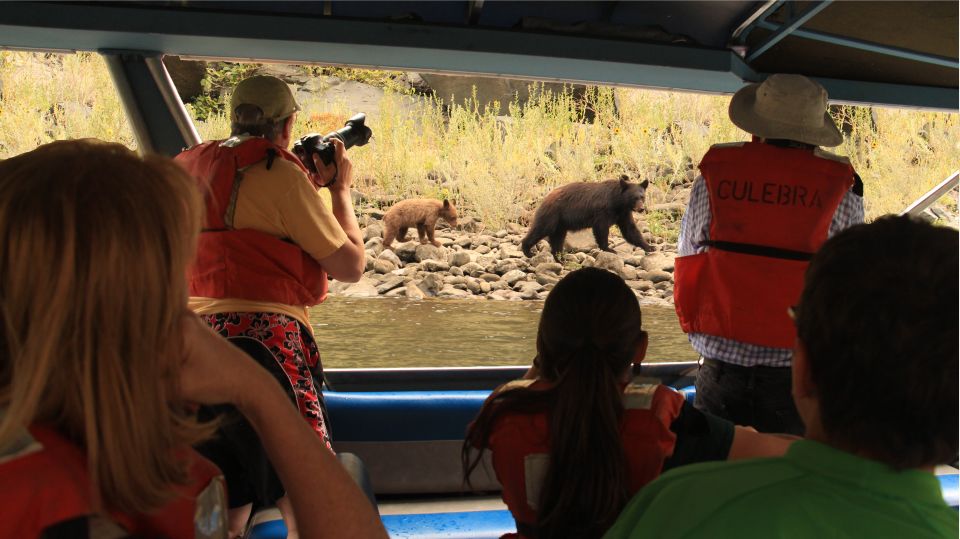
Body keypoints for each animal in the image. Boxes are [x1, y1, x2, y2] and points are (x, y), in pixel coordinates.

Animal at [520, 177, 656, 260]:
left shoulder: (623, 214)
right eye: (634, 197)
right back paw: (528, 250)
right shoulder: (603, 210)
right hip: (552, 214)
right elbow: (601, 228)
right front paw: (609, 249)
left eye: (642, 197)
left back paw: (560, 257)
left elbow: (630, 230)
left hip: (560, 223)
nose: (641, 209)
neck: (618, 202)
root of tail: (546, 198)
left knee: (558, 238)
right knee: (541, 229)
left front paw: (649, 247)